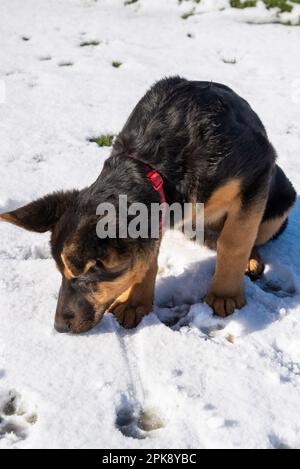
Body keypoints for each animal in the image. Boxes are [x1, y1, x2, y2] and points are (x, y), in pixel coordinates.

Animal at [0, 77, 296, 332]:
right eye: (60, 272)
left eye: (86, 275)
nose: (59, 327)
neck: (149, 166)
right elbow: (146, 260)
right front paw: (135, 303)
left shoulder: (258, 170)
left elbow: (234, 240)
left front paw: (226, 295)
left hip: (280, 203)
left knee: (250, 234)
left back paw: (250, 260)